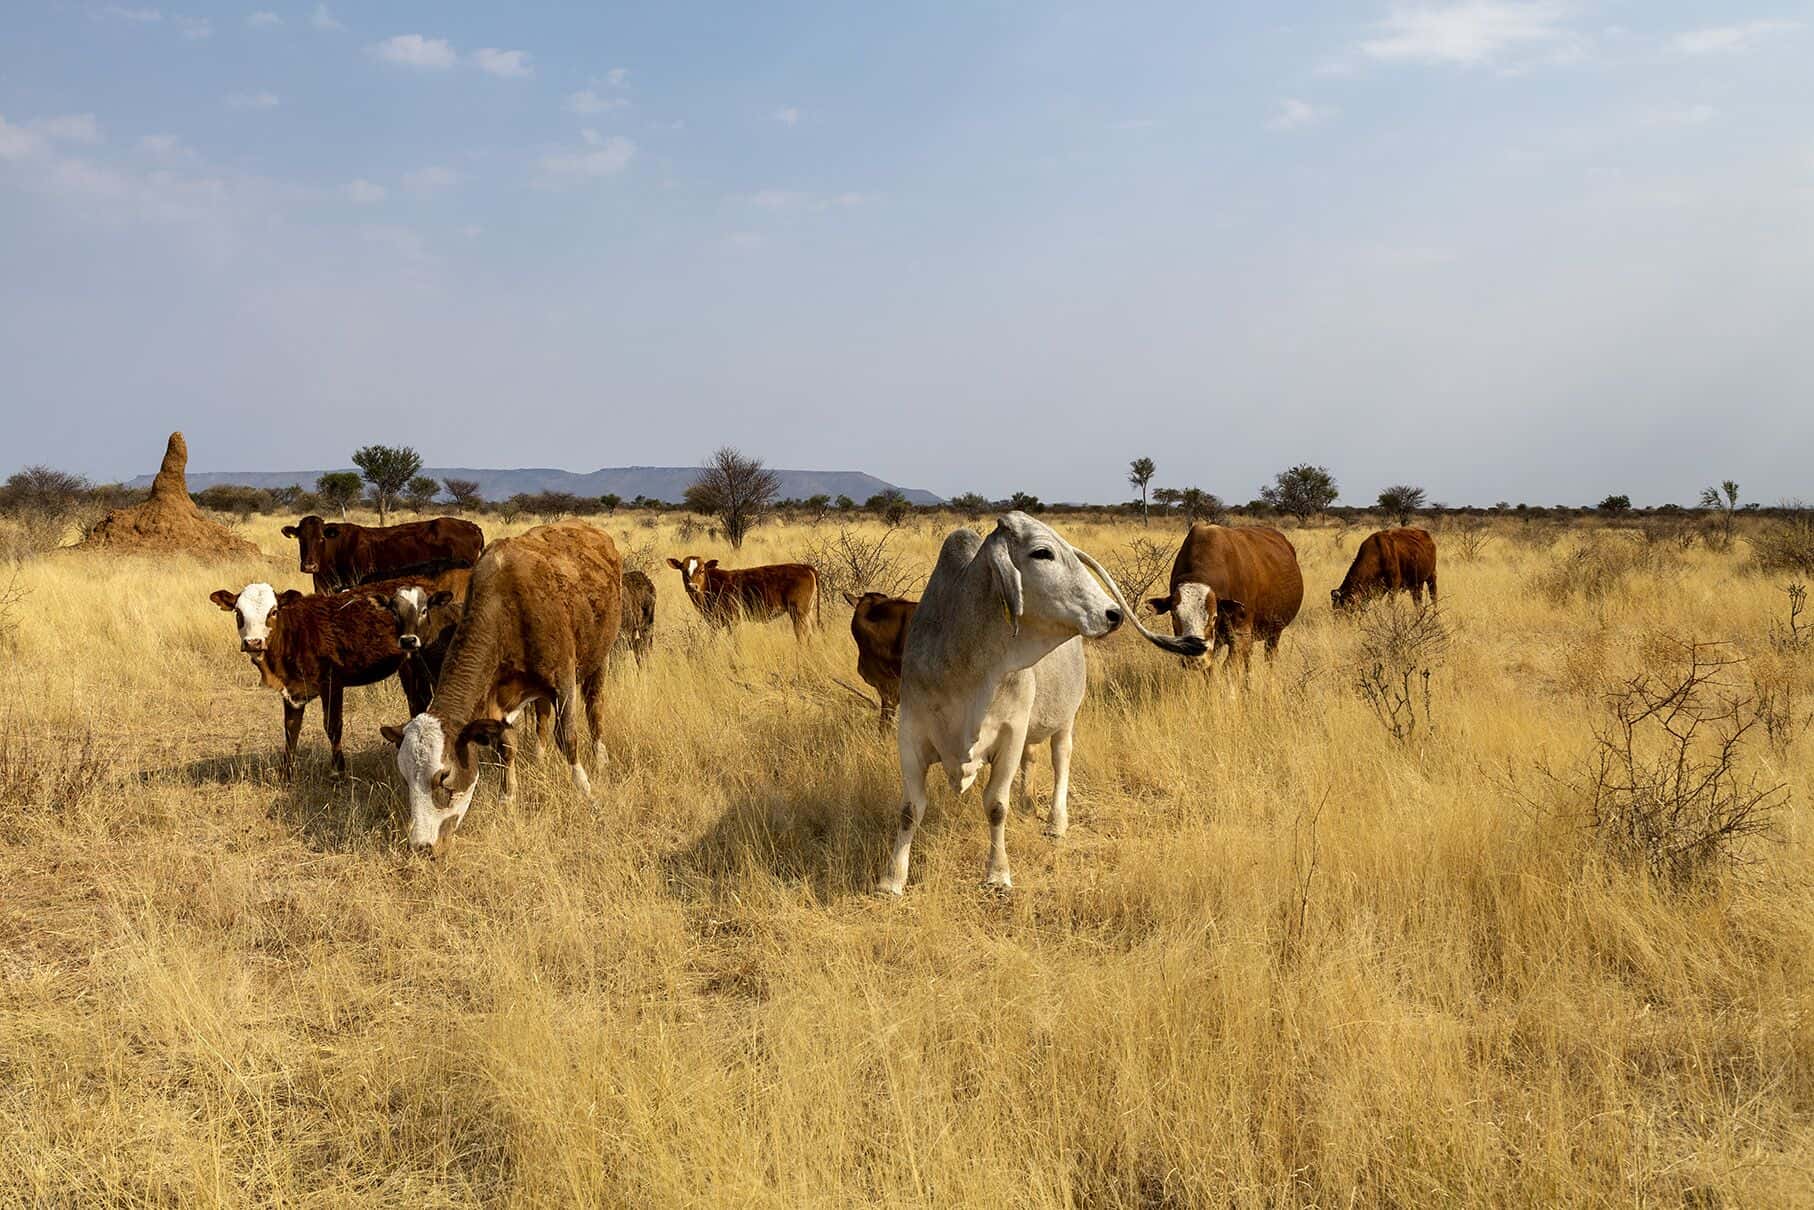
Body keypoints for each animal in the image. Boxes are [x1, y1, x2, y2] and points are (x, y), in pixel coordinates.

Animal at [208, 583, 419, 777]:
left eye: (273, 611)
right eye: (238, 612)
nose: (253, 642)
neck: (294, 634)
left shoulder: (332, 684)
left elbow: (333, 727)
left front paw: (338, 773)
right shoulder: (292, 690)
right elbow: (291, 729)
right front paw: (287, 774)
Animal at [381, 522, 622, 857]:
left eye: (443, 777)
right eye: (405, 779)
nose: (421, 845)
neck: (509, 605)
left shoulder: (563, 682)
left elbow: (568, 738)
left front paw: (586, 791)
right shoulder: (497, 699)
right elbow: (507, 746)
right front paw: (507, 800)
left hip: (600, 659)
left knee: (594, 708)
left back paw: (600, 757)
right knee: (542, 717)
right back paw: (539, 757)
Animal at [666, 555, 818, 641]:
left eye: (702, 570)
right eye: (683, 571)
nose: (692, 586)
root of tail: (804, 567)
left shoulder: (734, 620)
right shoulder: (714, 623)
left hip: (798, 614)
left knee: (802, 636)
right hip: (808, 612)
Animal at [877, 513, 1206, 895]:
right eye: (1042, 552)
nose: (1113, 614)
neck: (970, 663)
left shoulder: (1011, 732)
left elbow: (996, 806)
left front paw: (998, 874)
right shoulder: (911, 732)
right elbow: (910, 810)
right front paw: (892, 878)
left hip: (1066, 720)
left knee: (1061, 760)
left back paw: (1055, 821)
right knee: (1031, 758)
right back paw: (1027, 801)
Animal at [1145, 523, 1304, 677]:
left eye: (1214, 617)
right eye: (1174, 616)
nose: (1195, 659)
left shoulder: (1241, 634)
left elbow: (1228, 668)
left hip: (1275, 631)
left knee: (1270, 656)